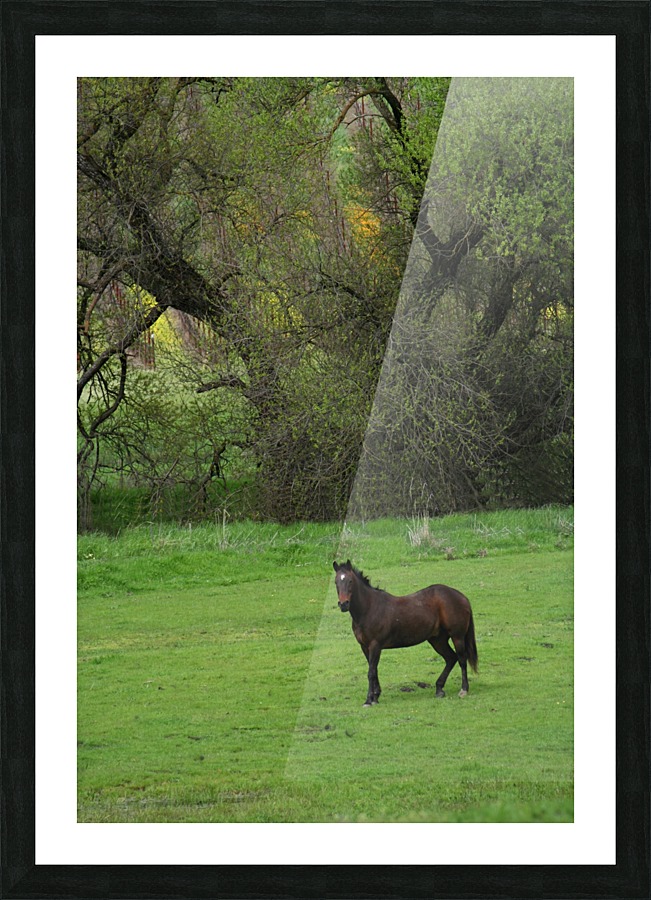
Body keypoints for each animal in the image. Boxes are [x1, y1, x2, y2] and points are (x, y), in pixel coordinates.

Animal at [333, 559, 478, 707]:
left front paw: (369, 700)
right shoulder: (364, 646)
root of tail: (462, 597)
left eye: (350, 581)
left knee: (461, 659)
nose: (343, 604)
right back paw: (439, 689)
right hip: (437, 640)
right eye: (336, 582)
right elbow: (374, 670)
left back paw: (463, 689)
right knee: (451, 658)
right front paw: (376, 696)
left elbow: (371, 672)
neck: (369, 608)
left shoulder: (375, 645)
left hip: (457, 637)